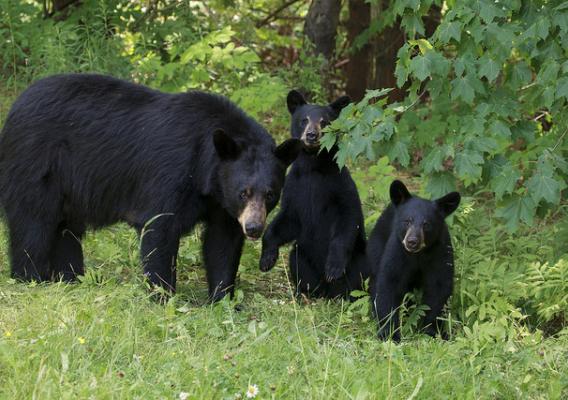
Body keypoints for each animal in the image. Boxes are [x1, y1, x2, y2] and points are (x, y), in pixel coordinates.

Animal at [0, 74, 302, 300]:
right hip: (35, 166)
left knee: (65, 231)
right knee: (33, 224)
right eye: (244, 193)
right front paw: (162, 294)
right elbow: (159, 228)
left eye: (271, 194)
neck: (205, 172)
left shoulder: (220, 201)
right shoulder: (170, 174)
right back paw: (31, 278)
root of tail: (15, 107)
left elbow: (222, 242)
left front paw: (222, 298)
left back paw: (71, 277)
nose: (254, 228)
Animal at [258, 90, 368, 296]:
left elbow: (348, 216)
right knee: (297, 261)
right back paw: (304, 292)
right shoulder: (294, 186)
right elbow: (287, 219)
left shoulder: (340, 184)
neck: (312, 166)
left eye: (324, 122)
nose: (311, 135)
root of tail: (328, 292)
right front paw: (267, 259)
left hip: (358, 258)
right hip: (303, 254)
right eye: (304, 120)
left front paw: (333, 267)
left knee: (359, 275)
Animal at [368, 181, 462, 340]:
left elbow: (439, 287)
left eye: (426, 224)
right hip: (377, 246)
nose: (412, 241)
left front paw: (432, 330)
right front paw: (389, 333)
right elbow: (388, 283)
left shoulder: (440, 252)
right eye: (407, 221)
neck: (418, 255)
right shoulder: (397, 251)